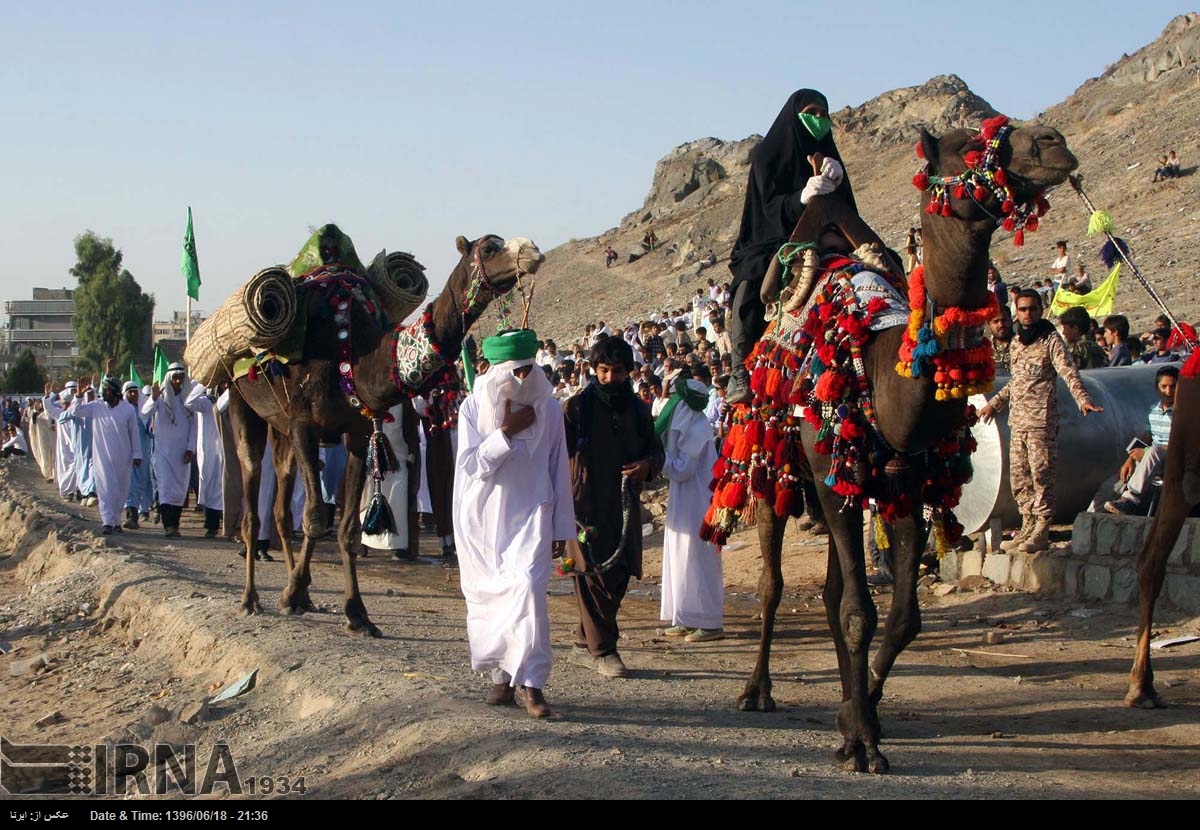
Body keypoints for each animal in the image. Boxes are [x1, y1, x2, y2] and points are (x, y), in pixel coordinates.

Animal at [225, 233, 544, 633]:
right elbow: (315, 517)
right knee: (253, 502)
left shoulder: (358, 432)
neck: (353, 357)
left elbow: (347, 528)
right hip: (242, 402)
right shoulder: (303, 425)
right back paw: (250, 599)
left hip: (279, 429)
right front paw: (290, 595)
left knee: (281, 507)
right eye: (488, 247)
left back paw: (302, 591)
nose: (532, 251)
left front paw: (355, 614)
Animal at [700, 116, 1080, 772]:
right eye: (969, 147)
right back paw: (756, 690)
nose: (1054, 143)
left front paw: (860, 715)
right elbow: (860, 612)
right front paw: (860, 741)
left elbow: (901, 618)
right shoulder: (837, 477)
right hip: (775, 463)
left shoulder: (905, 484)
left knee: (831, 593)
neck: (883, 369)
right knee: (775, 585)